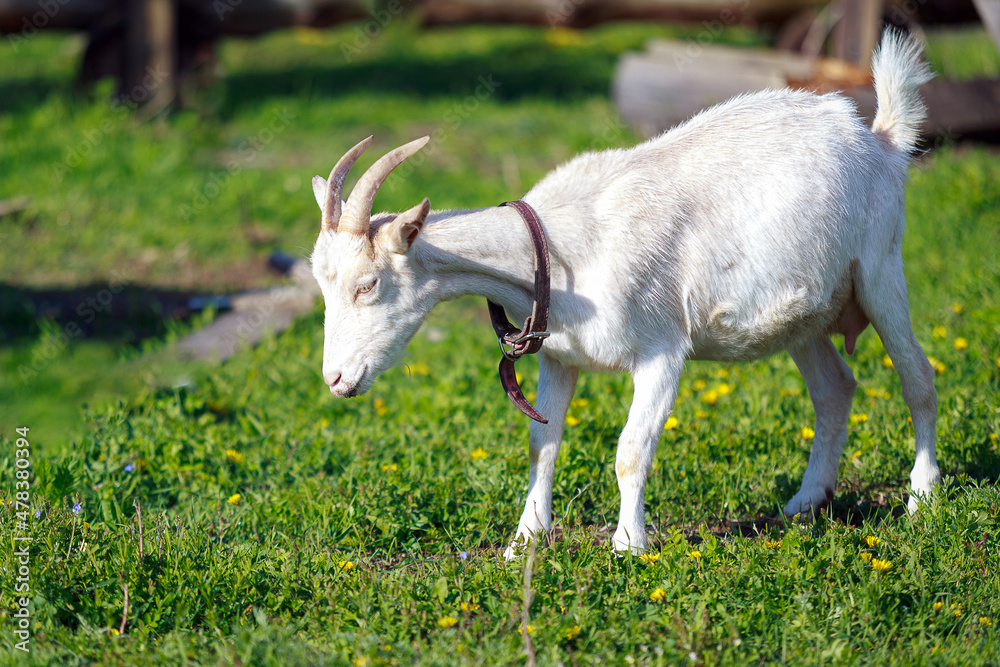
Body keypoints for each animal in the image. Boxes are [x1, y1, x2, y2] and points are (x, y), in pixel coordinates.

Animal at [309, 31, 938, 557]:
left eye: (368, 284)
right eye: (322, 285)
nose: (336, 379)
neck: (556, 250)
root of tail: (877, 137)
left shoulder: (663, 351)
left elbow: (631, 450)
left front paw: (628, 546)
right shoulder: (558, 358)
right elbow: (542, 444)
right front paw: (524, 542)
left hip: (881, 267)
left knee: (918, 377)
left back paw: (922, 497)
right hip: (802, 313)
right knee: (835, 388)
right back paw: (807, 502)